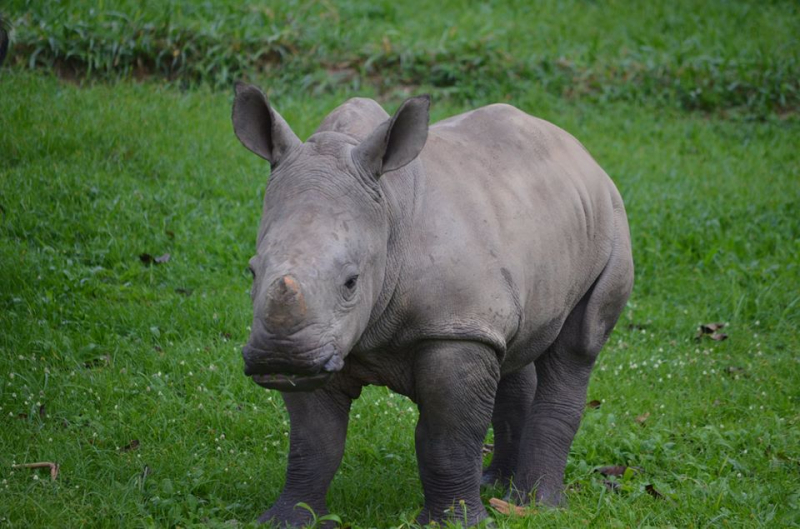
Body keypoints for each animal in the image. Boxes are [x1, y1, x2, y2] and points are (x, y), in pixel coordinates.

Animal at [232, 82, 634, 526]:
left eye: (351, 281)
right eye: (252, 272)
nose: (278, 357)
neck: (388, 211)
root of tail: (581, 151)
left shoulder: (456, 328)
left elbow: (446, 437)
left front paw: (456, 522)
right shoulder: (319, 343)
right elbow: (313, 439)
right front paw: (288, 519)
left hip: (613, 225)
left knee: (577, 347)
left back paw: (536, 505)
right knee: (514, 348)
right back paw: (496, 486)